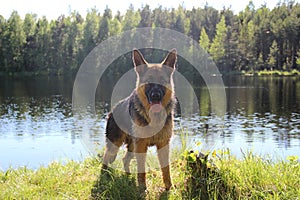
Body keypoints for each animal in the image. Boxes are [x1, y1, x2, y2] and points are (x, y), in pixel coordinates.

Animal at [102, 48, 177, 191]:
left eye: (162, 80)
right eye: (148, 80)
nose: (155, 96)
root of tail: (113, 110)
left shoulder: (163, 144)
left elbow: (166, 169)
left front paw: (169, 187)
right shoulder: (141, 146)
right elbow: (141, 169)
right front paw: (142, 188)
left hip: (132, 147)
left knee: (125, 159)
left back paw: (128, 176)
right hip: (115, 146)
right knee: (106, 158)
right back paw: (104, 177)